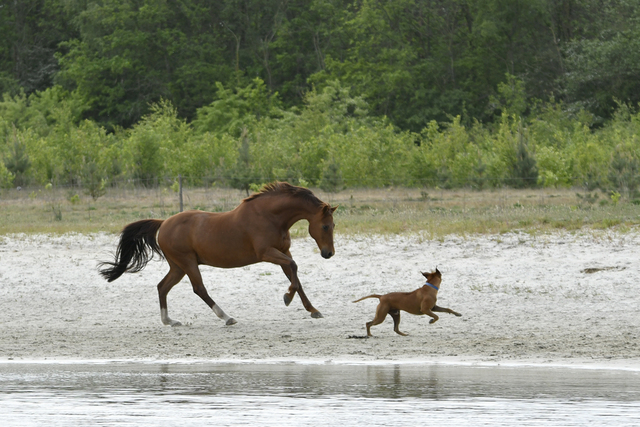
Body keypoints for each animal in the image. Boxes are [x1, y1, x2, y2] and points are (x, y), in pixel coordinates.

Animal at [97, 181, 338, 328]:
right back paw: (226, 317)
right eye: (325, 226)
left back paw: (170, 321)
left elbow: (294, 276)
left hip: (178, 266)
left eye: (333, 225)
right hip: (188, 262)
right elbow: (294, 267)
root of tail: (164, 223)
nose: (329, 254)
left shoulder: (282, 251)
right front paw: (287, 297)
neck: (271, 216)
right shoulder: (267, 253)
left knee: (162, 287)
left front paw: (312, 309)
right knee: (199, 289)